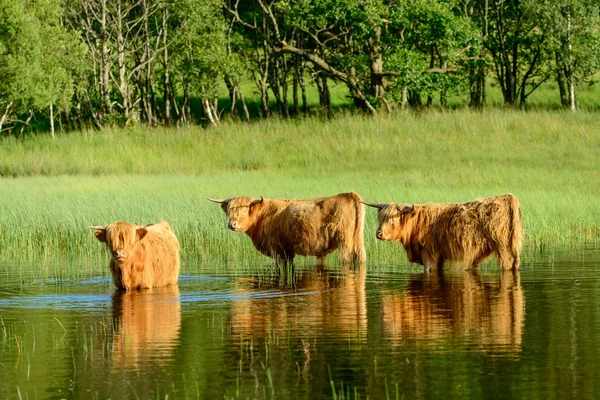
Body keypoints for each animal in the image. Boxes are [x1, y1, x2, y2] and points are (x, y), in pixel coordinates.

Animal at [206, 191, 366, 266]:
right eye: (229, 210)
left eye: (244, 211)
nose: (232, 224)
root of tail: (349, 195)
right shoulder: (287, 252)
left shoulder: (277, 250)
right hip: (357, 242)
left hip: (345, 242)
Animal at [364, 195, 524, 272]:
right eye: (380, 218)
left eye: (392, 220)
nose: (379, 234)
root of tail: (508, 197)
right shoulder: (439, 257)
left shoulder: (429, 254)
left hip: (503, 248)